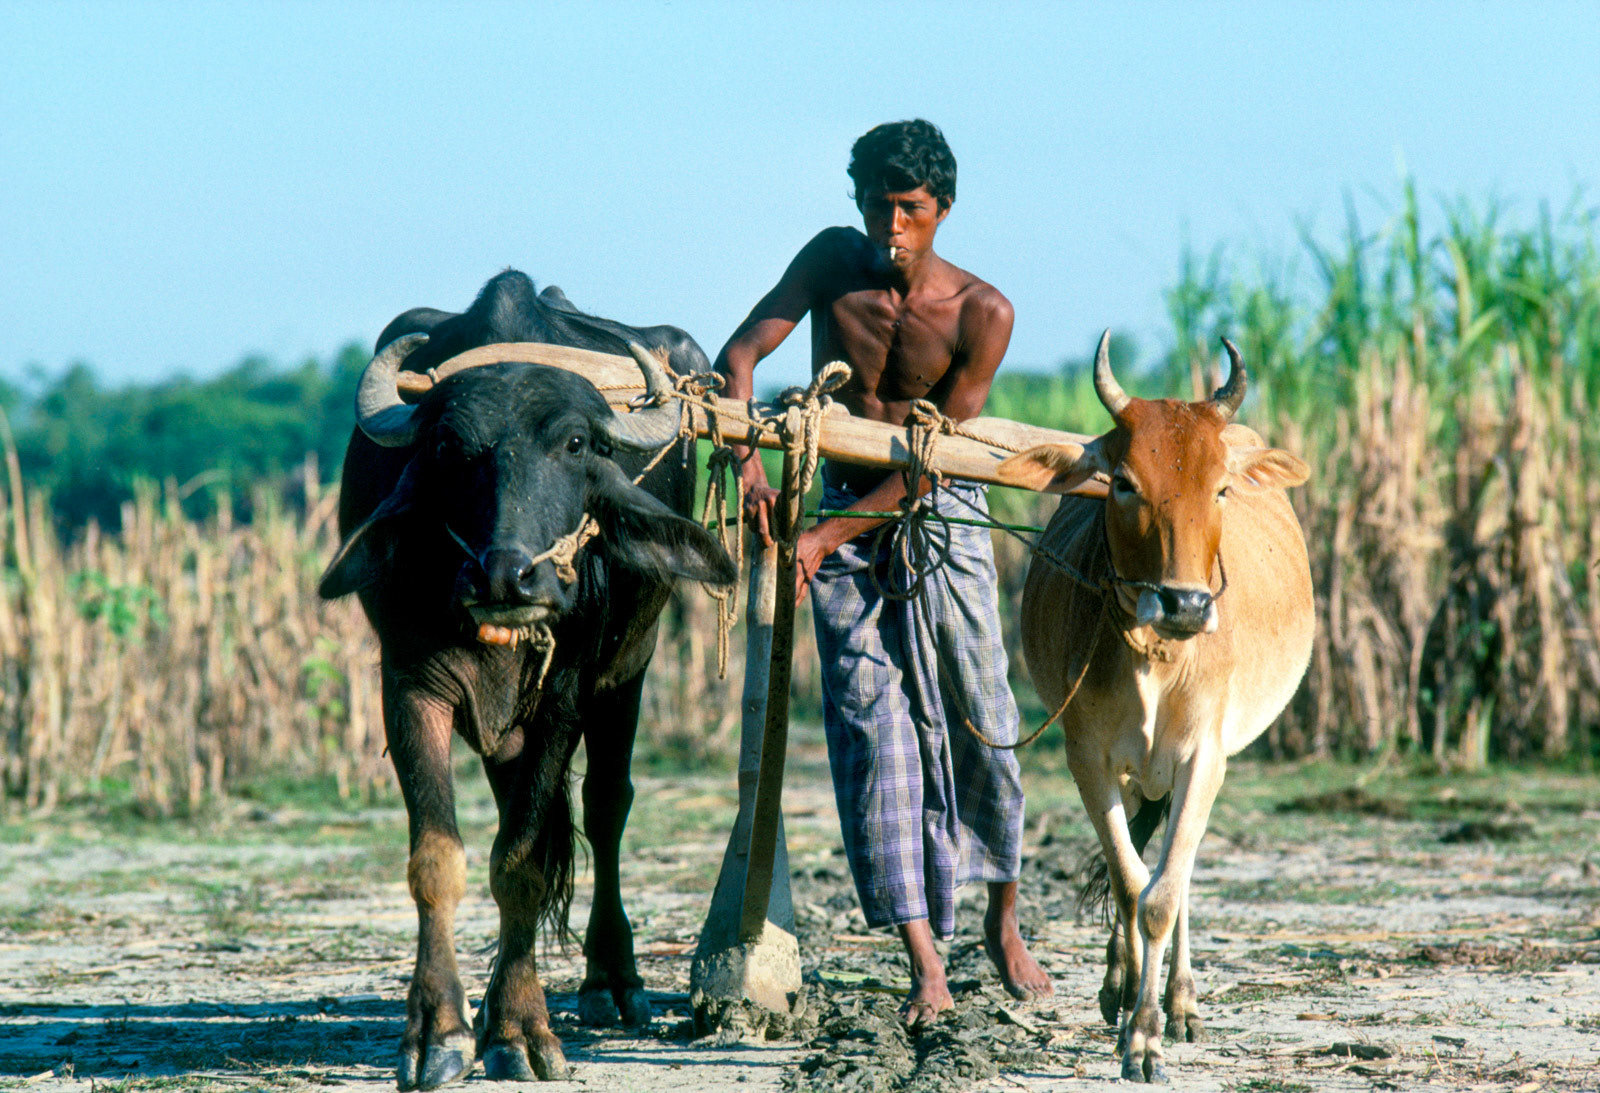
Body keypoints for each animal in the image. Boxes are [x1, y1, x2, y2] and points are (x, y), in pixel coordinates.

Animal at [320, 270, 736, 1088]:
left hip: (629, 671)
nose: (507, 575)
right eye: (448, 446)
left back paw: (611, 980)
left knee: (605, 807)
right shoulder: (407, 686)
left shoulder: (565, 697)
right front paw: (440, 1030)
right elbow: (438, 858)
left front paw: (519, 1029)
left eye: (575, 443)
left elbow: (521, 862)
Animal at [998, 333, 1314, 1083]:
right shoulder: (1087, 758)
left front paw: (1148, 1034)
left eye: (1220, 486)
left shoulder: (1205, 757)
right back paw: (1123, 986)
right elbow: (1129, 879)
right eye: (1123, 482)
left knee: (1180, 870)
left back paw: (1182, 1002)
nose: (1186, 603)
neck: (1156, 657)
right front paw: (1126, 1011)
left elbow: (1164, 894)